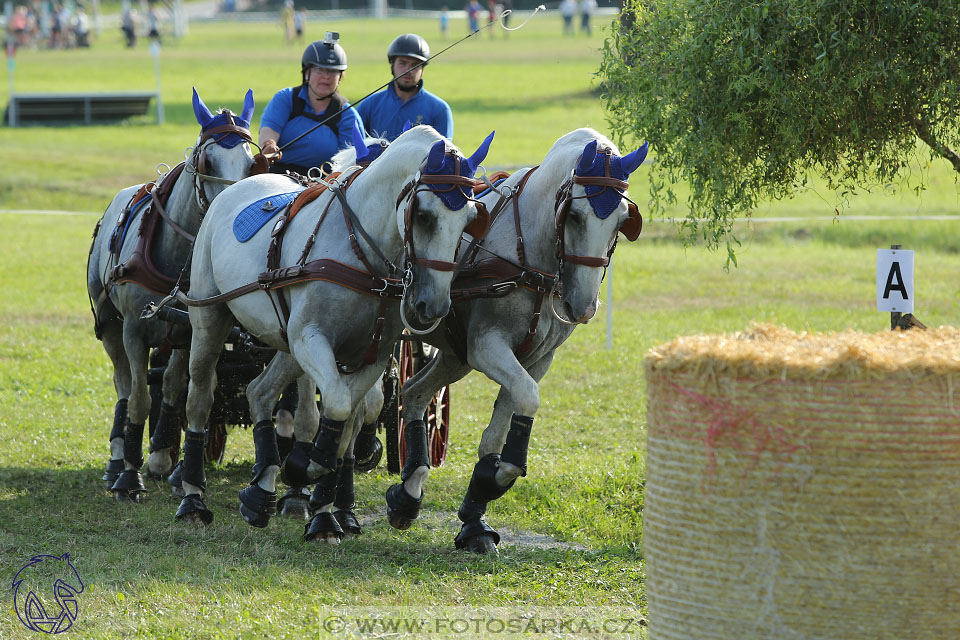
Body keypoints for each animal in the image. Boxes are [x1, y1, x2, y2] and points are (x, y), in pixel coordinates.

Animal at [86, 89, 256, 500]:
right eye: (207, 159)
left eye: (251, 163)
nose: (232, 208)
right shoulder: (133, 330)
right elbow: (139, 397)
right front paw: (129, 476)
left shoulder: (188, 330)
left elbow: (174, 387)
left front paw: (165, 456)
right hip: (110, 325)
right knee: (123, 385)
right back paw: (118, 458)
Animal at [174, 124, 496, 540]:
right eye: (423, 215)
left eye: (471, 219)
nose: (434, 307)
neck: (362, 254)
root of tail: (237, 187)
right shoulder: (312, 339)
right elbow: (338, 408)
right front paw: (304, 469)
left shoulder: (370, 356)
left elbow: (343, 426)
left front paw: (325, 512)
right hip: (211, 320)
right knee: (200, 397)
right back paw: (193, 498)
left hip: (287, 343)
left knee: (259, 391)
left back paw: (261, 491)